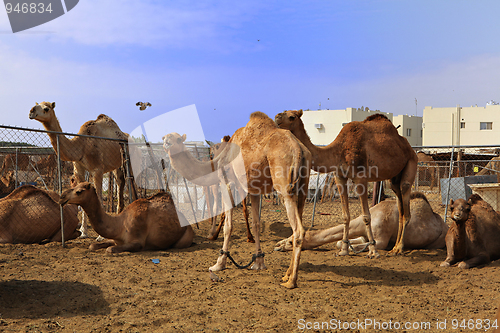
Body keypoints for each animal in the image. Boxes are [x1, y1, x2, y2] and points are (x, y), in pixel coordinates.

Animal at [28, 101, 129, 236]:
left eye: (46, 108)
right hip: (116, 165)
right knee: (120, 182)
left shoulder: (97, 170)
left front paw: (100, 236)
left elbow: (99, 197)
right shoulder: (79, 171)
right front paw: (83, 232)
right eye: (36, 104)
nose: (31, 111)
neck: (81, 146)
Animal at [57, 182, 192, 252]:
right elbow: (92, 246)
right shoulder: (116, 239)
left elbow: (110, 250)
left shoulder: (137, 242)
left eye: (79, 191)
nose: (61, 198)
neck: (120, 224)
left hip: (185, 236)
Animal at [162, 110, 310, 286]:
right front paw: (258, 263)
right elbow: (256, 224)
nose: (167, 143)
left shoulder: (226, 182)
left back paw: (291, 281)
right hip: (303, 186)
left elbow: (228, 225)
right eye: (165, 137)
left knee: (298, 230)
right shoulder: (254, 190)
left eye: (177, 139)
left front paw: (219, 263)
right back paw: (286, 275)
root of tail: (299, 149)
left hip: (284, 185)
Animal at [274, 110, 418, 255]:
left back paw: (399, 248)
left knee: (406, 207)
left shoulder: (361, 178)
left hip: (411, 163)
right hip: (394, 179)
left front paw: (373, 251)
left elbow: (366, 216)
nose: (276, 117)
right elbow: (345, 216)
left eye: (292, 117)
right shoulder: (340, 177)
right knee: (400, 209)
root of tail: (410, 149)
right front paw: (344, 250)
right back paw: (395, 247)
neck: (338, 151)